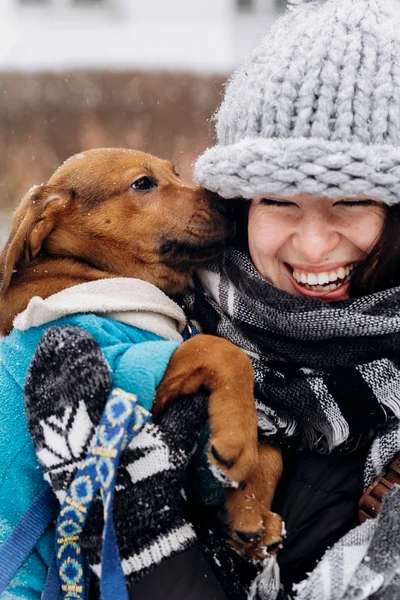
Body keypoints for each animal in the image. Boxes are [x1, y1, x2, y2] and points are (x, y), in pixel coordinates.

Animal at [0, 149, 282, 556]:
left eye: (175, 172)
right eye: (143, 183)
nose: (232, 202)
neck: (92, 272)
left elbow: (271, 449)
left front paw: (251, 509)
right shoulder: (126, 379)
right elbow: (221, 349)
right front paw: (238, 441)